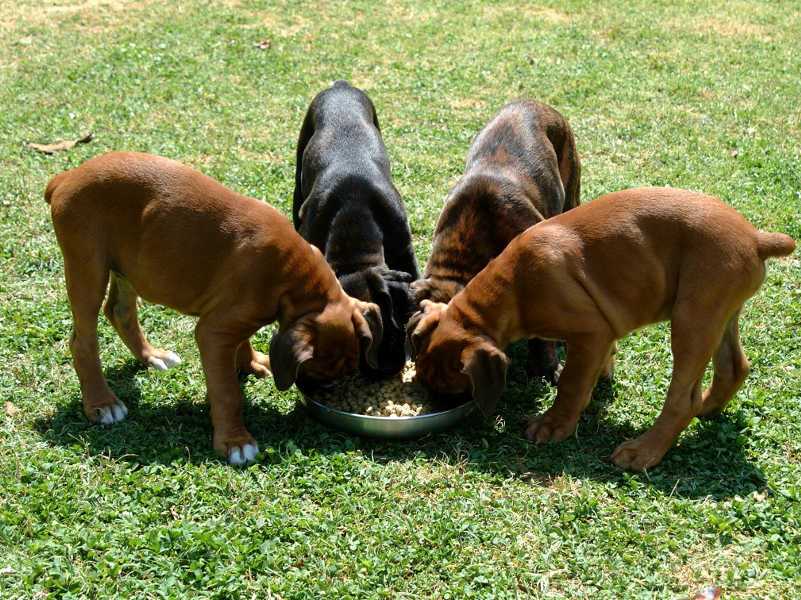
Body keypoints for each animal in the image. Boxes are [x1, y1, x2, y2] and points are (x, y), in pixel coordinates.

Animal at [45, 152, 382, 466]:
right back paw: (102, 403)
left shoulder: (235, 319)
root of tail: (66, 178)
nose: (325, 393)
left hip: (128, 268)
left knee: (119, 311)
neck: (293, 275)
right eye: (320, 371)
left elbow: (244, 340)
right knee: (83, 341)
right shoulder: (214, 332)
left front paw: (252, 362)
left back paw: (152, 356)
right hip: (88, 268)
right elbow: (228, 393)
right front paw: (235, 442)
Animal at [410, 188, 796, 468]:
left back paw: (643, 452)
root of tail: (756, 238)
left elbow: (570, 382)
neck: (511, 288)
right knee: (734, 367)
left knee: (682, 399)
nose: (433, 408)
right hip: (719, 313)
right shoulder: (602, 334)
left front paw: (554, 424)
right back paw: (707, 409)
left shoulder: (590, 332)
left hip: (692, 320)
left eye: (451, 389)